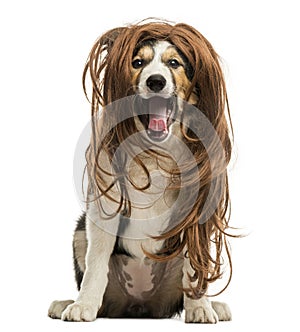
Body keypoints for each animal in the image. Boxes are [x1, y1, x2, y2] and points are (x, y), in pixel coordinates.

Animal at [48, 19, 233, 322]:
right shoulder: (105, 199)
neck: (155, 153)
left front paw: (200, 308)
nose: (155, 81)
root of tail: (140, 305)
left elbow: (195, 267)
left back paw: (214, 304)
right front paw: (82, 306)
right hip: (80, 234)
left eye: (173, 63)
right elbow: (95, 264)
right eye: (137, 63)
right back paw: (66, 302)